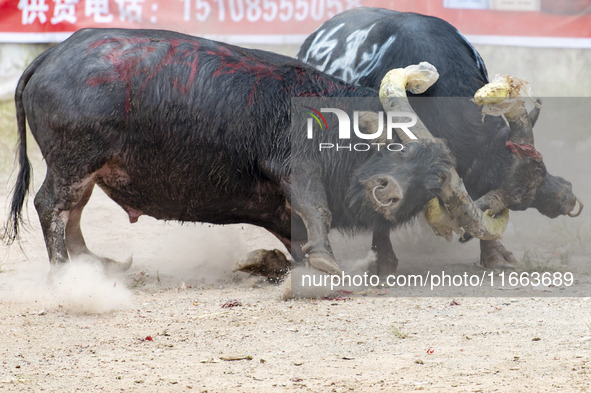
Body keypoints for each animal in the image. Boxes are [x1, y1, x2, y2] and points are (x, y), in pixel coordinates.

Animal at [2, 27, 494, 278]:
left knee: (73, 211)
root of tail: (51, 56)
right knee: (52, 205)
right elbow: (316, 208)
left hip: (85, 168)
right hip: (74, 162)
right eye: (396, 146)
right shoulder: (296, 168)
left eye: (432, 182)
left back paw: (92, 264)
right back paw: (66, 275)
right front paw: (328, 262)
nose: (388, 191)